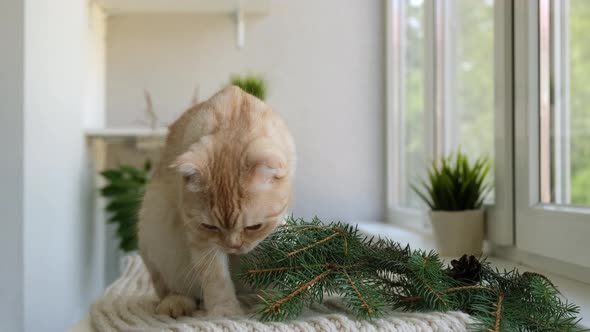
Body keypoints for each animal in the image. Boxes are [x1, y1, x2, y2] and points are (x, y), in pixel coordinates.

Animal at [138, 86, 296, 320]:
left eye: (254, 227)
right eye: (210, 226)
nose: (233, 247)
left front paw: (275, 300)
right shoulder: (200, 237)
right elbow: (216, 279)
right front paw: (226, 312)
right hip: (154, 227)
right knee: (176, 290)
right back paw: (176, 303)